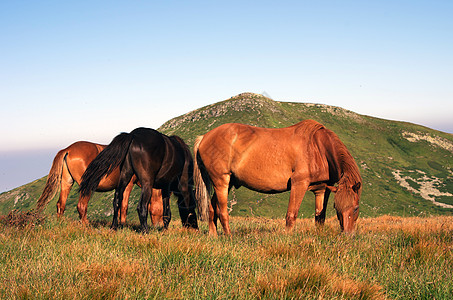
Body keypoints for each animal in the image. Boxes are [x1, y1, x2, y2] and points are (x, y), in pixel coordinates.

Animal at [36, 142, 164, 224]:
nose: (160, 227)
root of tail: (68, 149)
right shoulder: (128, 185)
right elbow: (124, 207)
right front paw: (123, 225)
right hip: (86, 186)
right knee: (81, 206)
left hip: (67, 183)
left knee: (61, 205)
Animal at [192, 119, 362, 234]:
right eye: (338, 208)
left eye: (355, 208)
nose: (347, 235)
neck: (317, 147)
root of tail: (204, 137)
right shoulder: (299, 183)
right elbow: (291, 215)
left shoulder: (322, 189)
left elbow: (320, 217)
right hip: (221, 181)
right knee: (222, 212)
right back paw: (229, 236)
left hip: (227, 183)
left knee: (212, 208)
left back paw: (213, 235)